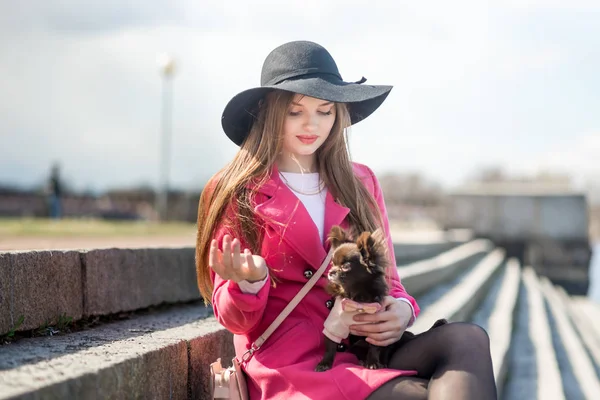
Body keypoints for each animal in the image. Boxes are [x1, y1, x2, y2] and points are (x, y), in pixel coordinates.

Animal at [316, 225, 448, 372]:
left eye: (345, 267)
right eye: (332, 263)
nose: (330, 272)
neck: (358, 297)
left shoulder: (378, 330)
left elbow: (375, 348)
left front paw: (372, 362)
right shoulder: (335, 324)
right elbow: (330, 345)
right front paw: (325, 363)